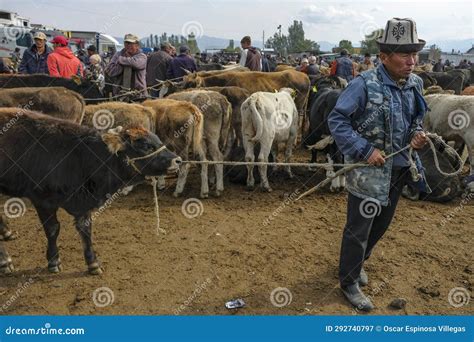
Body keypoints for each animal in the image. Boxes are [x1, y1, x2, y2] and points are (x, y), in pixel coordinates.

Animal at [0, 109, 181, 276]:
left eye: (157, 140)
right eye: (145, 146)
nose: (177, 160)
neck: (79, 157)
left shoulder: (83, 204)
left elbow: (85, 229)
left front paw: (93, 263)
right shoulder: (42, 200)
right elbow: (53, 229)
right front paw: (54, 261)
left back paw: (7, 233)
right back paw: (5, 261)